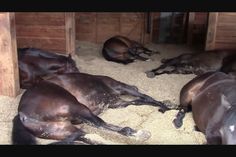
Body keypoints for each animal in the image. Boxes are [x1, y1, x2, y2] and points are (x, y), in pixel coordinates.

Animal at [12, 72, 170, 145]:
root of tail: (22, 114)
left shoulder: (117, 103)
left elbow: (136, 102)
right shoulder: (121, 88)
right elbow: (146, 97)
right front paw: (166, 107)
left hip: (61, 129)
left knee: (84, 135)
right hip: (77, 108)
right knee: (101, 125)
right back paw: (139, 133)